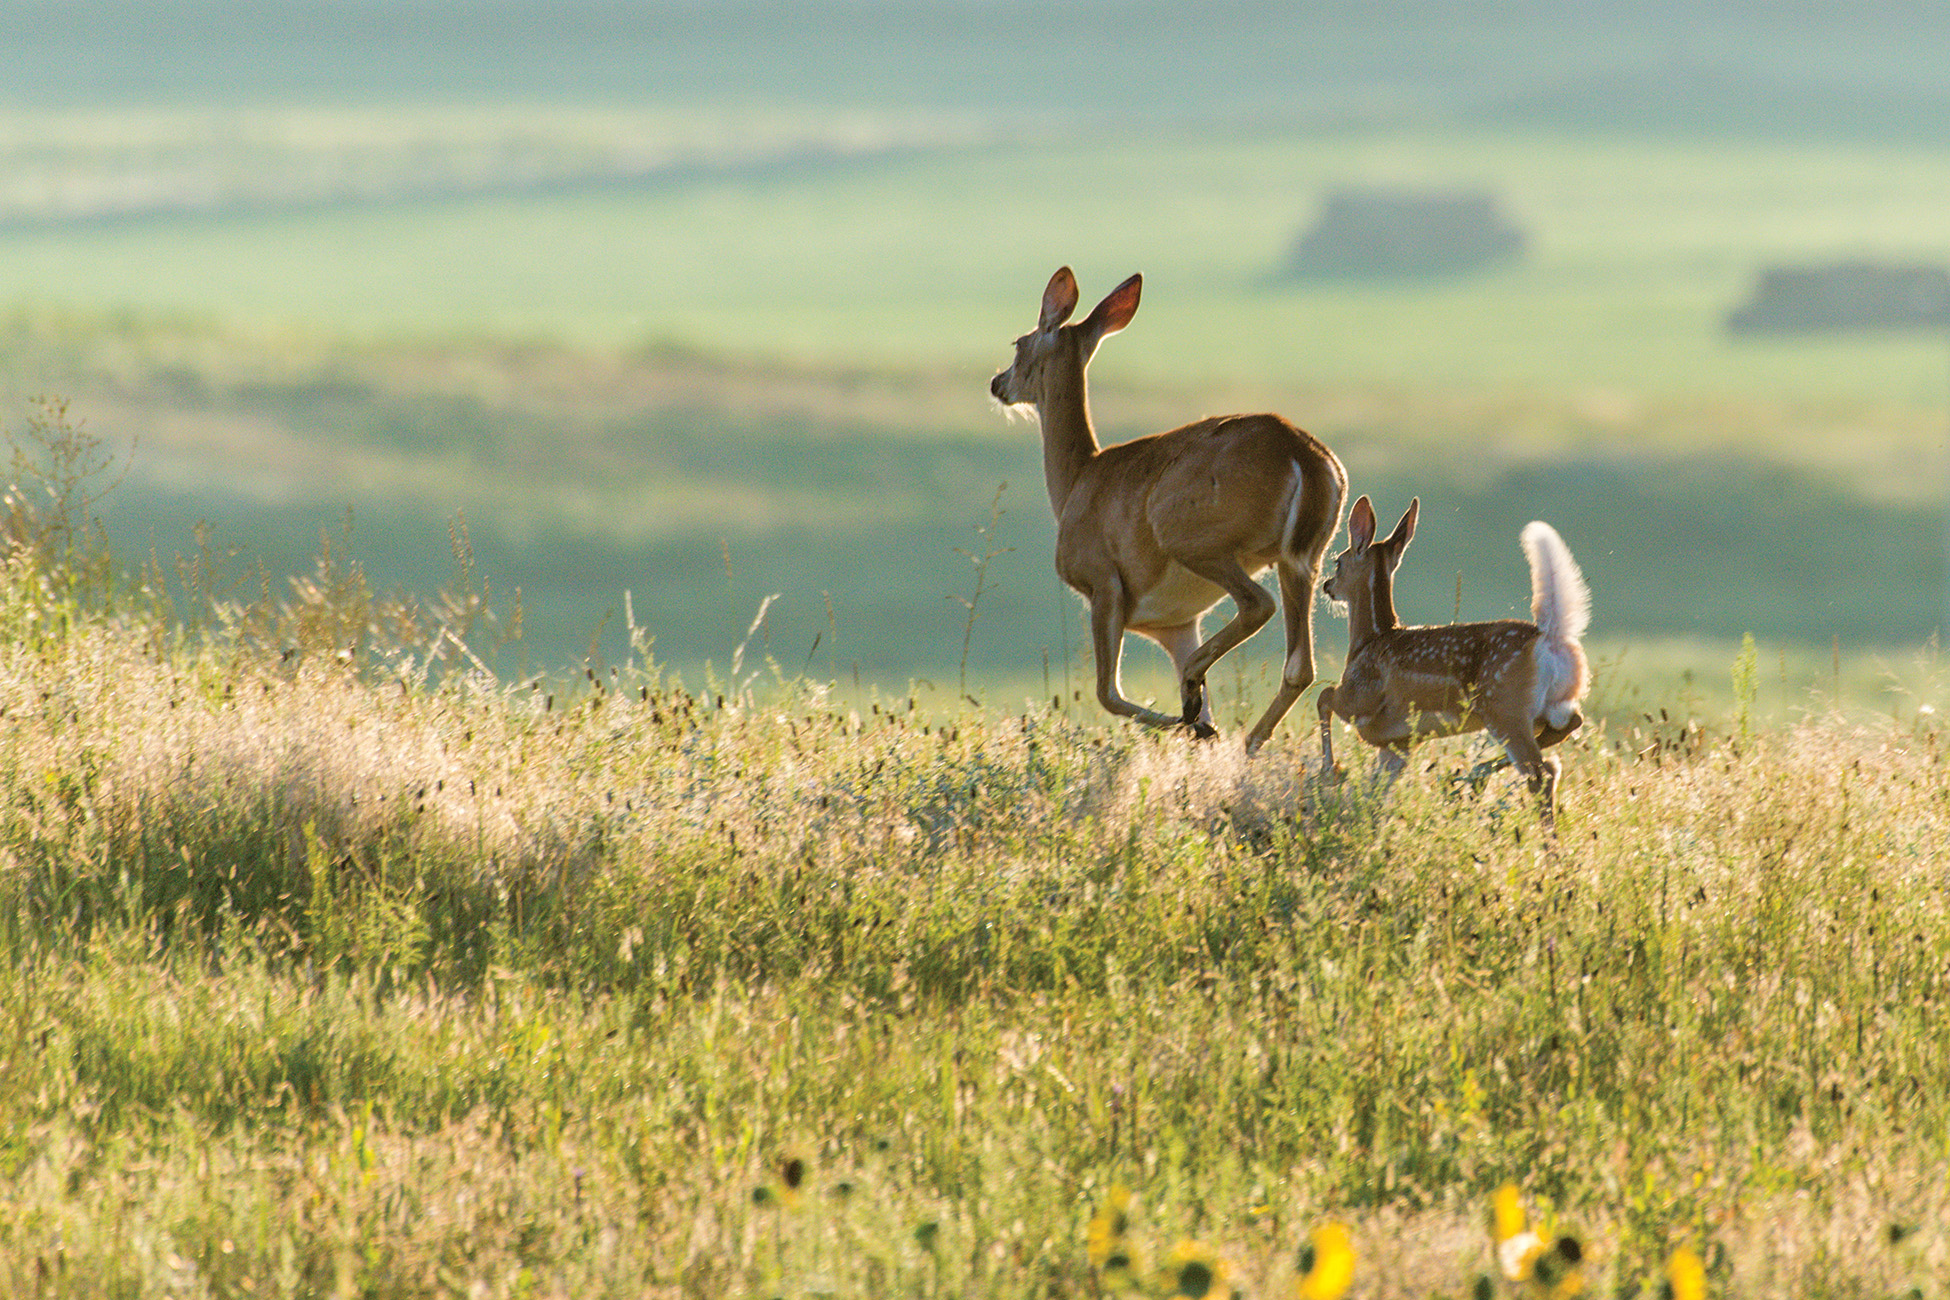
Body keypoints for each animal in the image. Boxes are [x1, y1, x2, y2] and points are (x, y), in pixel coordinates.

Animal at [998, 267, 1349, 752]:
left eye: (1018, 344)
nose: (997, 383)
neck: (1075, 481)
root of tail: (1304, 455)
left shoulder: (1103, 581)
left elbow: (1108, 693)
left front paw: (1192, 722)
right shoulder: (1177, 623)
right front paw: (1202, 727)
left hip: (1191, 535)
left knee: (1257, 605)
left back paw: (1196, 695)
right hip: (1303, 557)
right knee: (1300, 665)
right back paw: (1245, 738)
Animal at [1318, 495, 1591, 822]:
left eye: (1338, 561)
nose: (1327, 586)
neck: (1368, 639)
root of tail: (1548, 638)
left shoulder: (1360, 697)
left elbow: (1324, 696)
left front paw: (1330, 773)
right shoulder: (1399, 742)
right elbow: (1376, 789)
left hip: (1504, 708)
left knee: (1542, 774)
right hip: (1551, 708)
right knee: (1567, 731)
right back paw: (1471, 777)